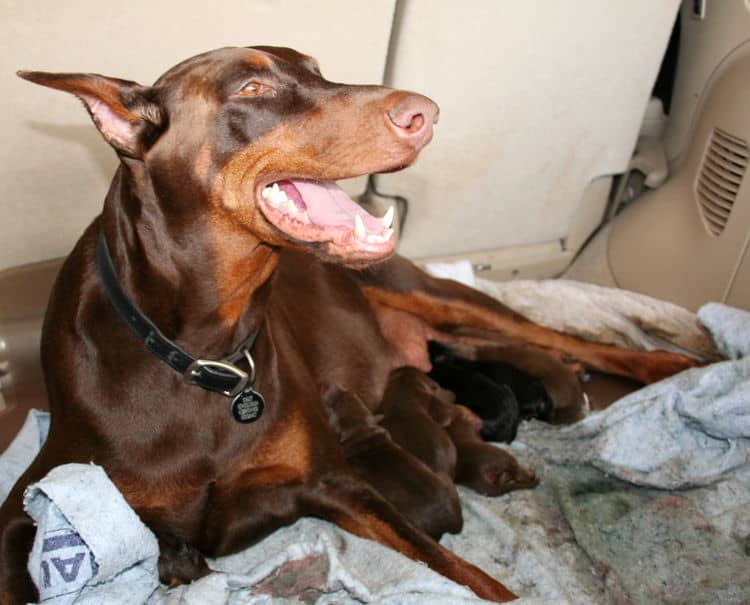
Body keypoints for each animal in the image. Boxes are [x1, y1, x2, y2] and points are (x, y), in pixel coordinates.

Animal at [0, 44, 700, 600]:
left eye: (316, 69)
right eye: (251, 88)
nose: (426, 113)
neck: (202, 355)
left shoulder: (335, 481)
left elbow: (462, 571)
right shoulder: (30, 505)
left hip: (428, 291)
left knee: (553, 333)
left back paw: (673, 361)